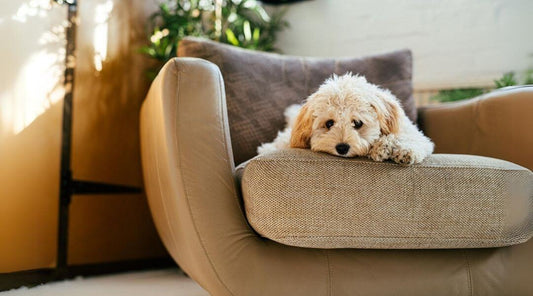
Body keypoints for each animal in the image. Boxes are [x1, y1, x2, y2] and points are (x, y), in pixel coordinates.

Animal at [256, 72, 434, 163]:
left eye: (357, 123)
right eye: (329, 123)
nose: (342, 148)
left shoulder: (413, 134)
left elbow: (411, 140)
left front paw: (400, 149)